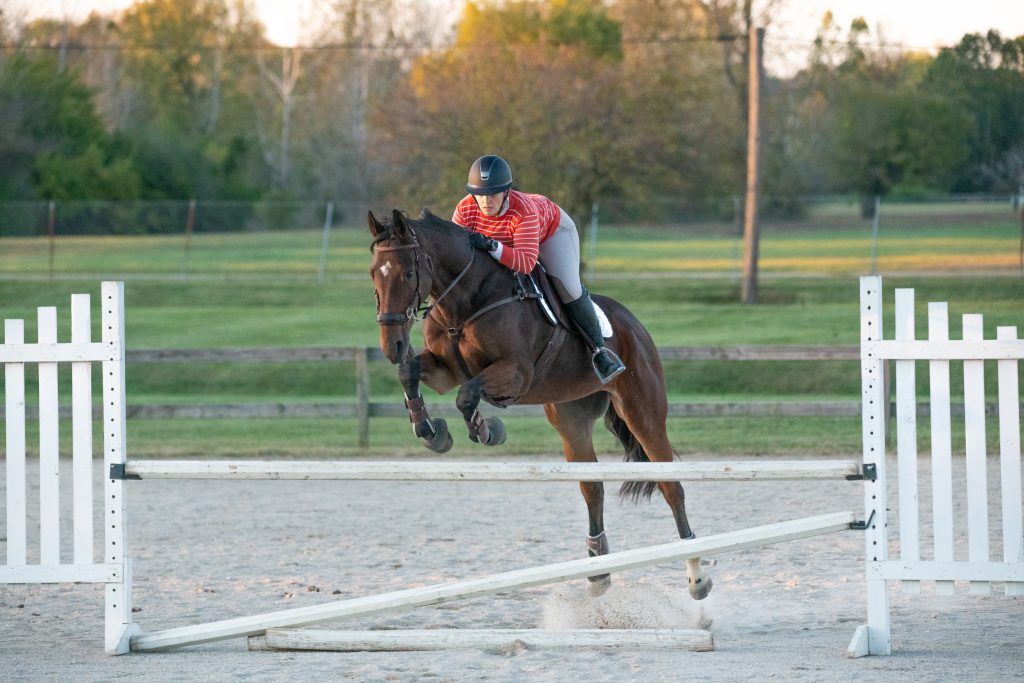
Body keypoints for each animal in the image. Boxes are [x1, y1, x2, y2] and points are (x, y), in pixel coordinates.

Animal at [367, 208, 712, 600]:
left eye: (409, 273)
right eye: (373, 273)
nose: (392, 345)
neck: (465, 302)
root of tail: (635, 325)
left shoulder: (515, 373)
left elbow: (467, 394)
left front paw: (486, 430)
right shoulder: (445, 369)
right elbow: (411, 372)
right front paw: (429, 430)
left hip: (643, 413)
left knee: (671, 486)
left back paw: (696, 575)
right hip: (570, 418)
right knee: (592, 488)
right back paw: (598, 571)